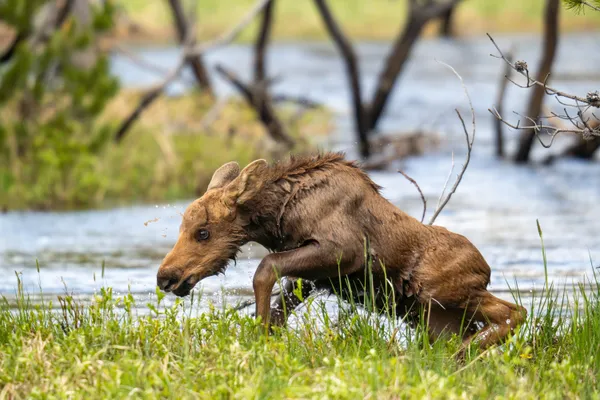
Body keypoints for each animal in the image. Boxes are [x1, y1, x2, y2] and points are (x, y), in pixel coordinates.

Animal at [158, 152, 524, 350]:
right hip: (434, 318)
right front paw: (268, 335)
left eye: (203, 232)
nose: (165, 276)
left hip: (442, 293)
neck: (278, 217)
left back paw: (462, 355)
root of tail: (485, 269)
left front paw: (258, 336)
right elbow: (280, 307)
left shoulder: (343, 251)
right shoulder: (312, 276)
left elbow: (266, 267)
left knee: (514, 311)